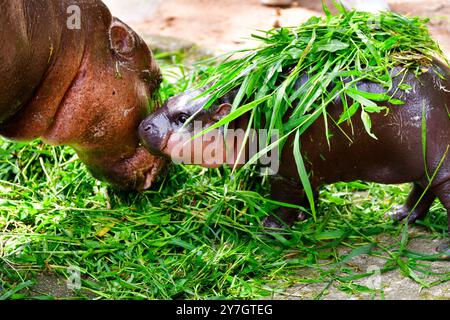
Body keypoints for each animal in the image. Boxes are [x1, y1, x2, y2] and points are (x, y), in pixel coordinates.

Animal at [139, 58, 450, 251]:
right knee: (422, 188)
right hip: (424, 165)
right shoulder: (308, 169)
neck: (245, 109)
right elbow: (308, 193)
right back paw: (399, 216)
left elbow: (282, 202)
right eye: (170, 98)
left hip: (440, 165)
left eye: (182, 118)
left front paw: (267, 231)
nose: (144, 125)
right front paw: (302, 217)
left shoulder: (285, 172)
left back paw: (442, 248)